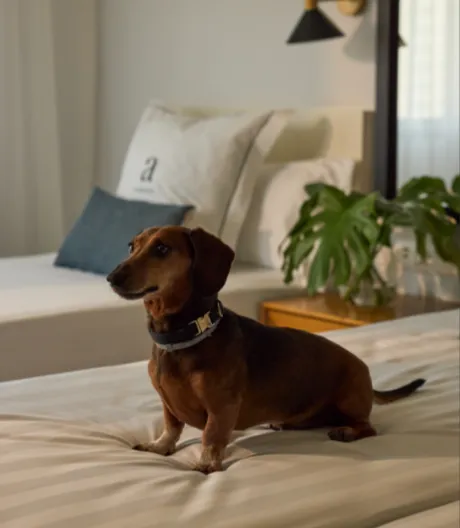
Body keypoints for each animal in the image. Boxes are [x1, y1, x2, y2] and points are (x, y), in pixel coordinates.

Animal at [107, 226, 425, 474]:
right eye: (131, 246)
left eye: (162, 248)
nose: (112, 277)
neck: (183, 337)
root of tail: (365, 370)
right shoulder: (168, 404)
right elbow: (171, 428)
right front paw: (159, 446)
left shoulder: (222, 407)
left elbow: (211, 436)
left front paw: (206, 464)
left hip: (350, 398)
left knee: (368, 427)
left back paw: (347, 431)